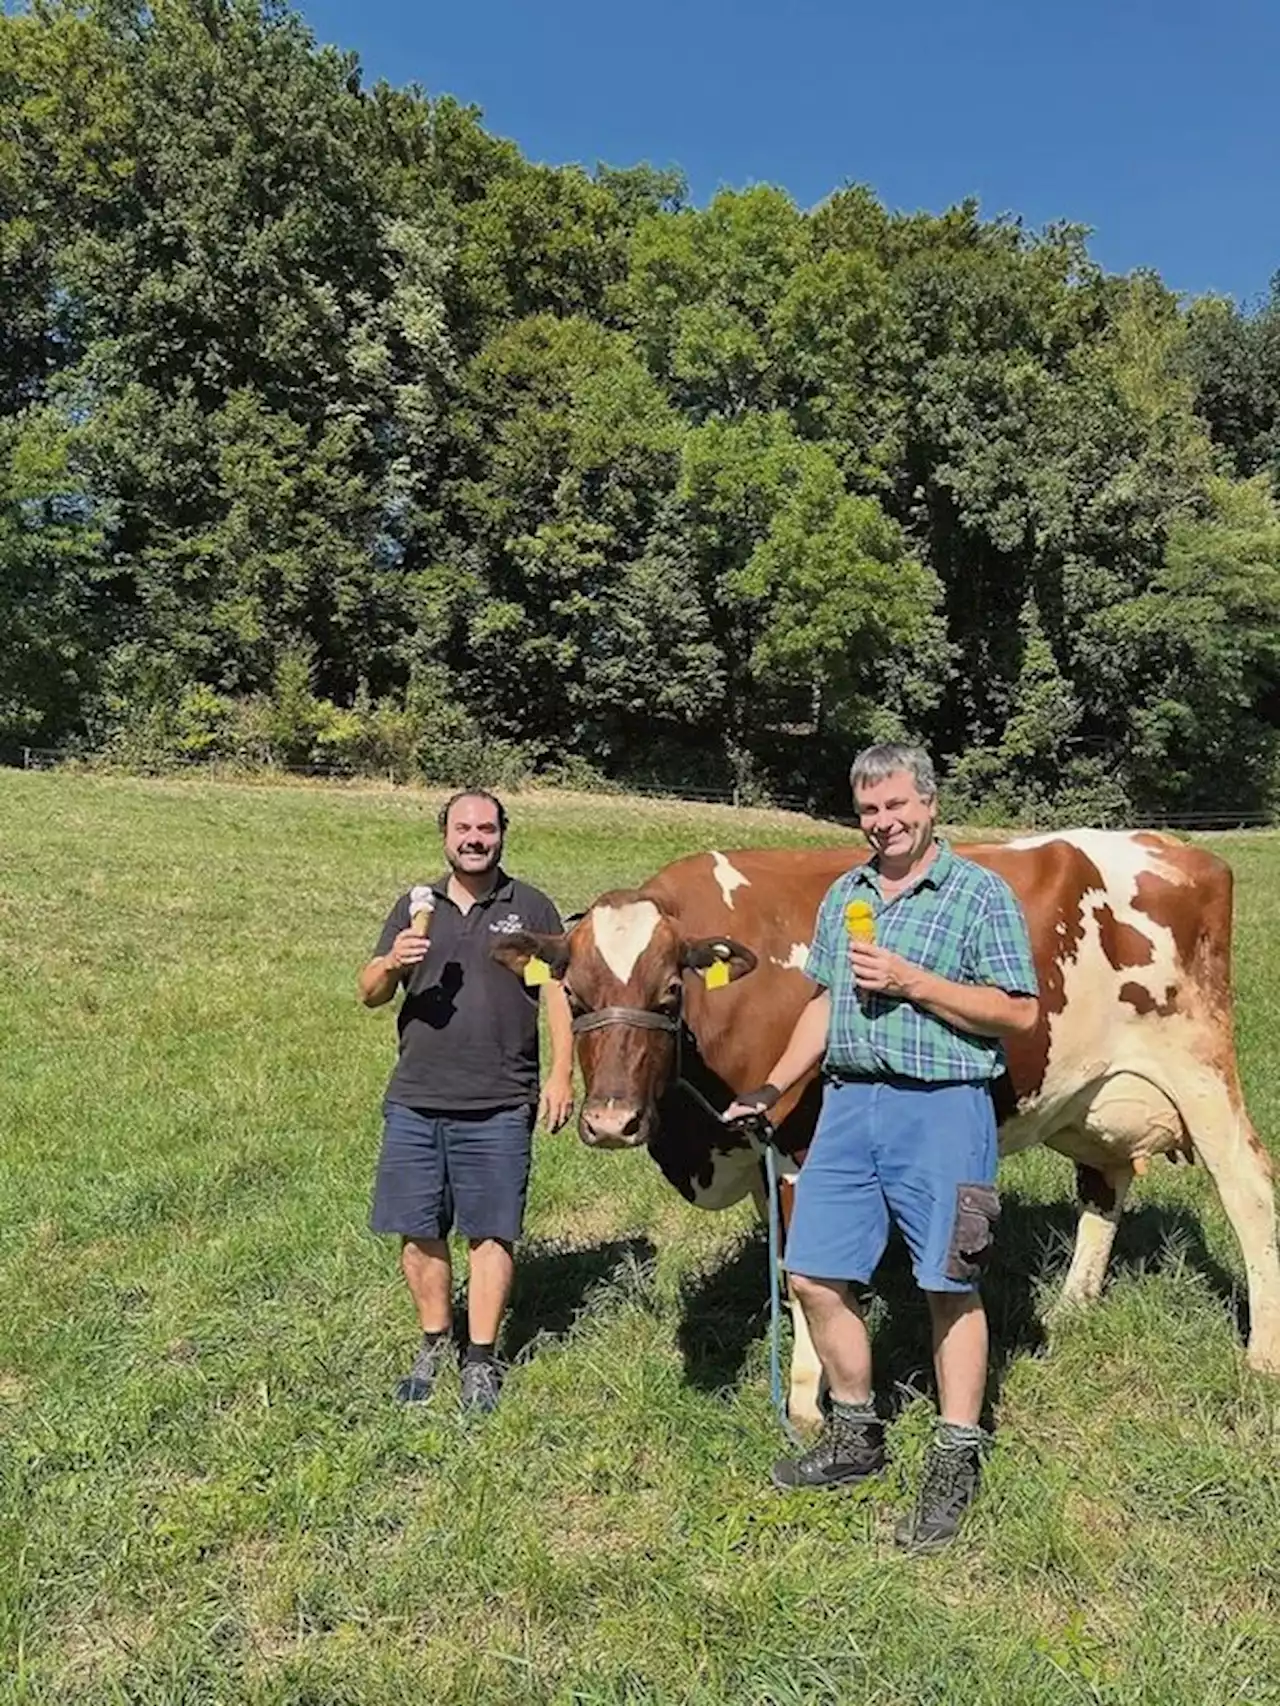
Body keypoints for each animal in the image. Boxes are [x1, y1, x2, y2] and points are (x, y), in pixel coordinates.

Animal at [494, 832, 1280, 1419]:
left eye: (667, 991)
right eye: (573, 993)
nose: (611, 1121)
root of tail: (1179, 850)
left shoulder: (800, 1146)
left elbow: (806, 1267)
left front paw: (807, 1403)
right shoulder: (757, 1145)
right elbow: (784, 1264)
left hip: (1201, 1068)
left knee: (1249, 1190)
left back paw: (1263, 1354)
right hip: (1089, 1093)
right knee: (1107, 1181)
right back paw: (1074, 1305)